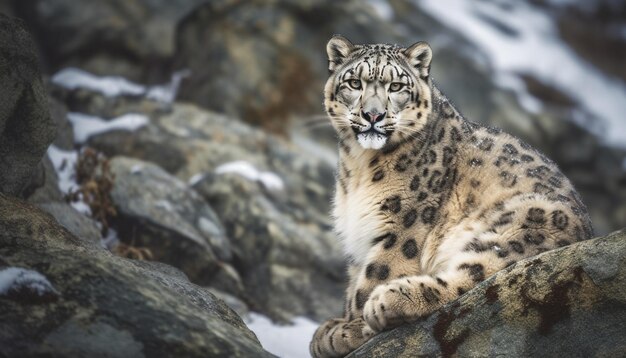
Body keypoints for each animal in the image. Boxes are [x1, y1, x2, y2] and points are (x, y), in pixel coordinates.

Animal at [310, 34, 592, 358]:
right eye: (354, 82)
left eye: (396, 87)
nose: (373, 115)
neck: (358, 165)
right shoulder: (359, 234)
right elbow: (354, 284)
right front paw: (335, 326)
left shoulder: (403, 223)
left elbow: (375, 275)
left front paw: (350, 330)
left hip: (522, 224)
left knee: (474, 280)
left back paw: (388, 301)